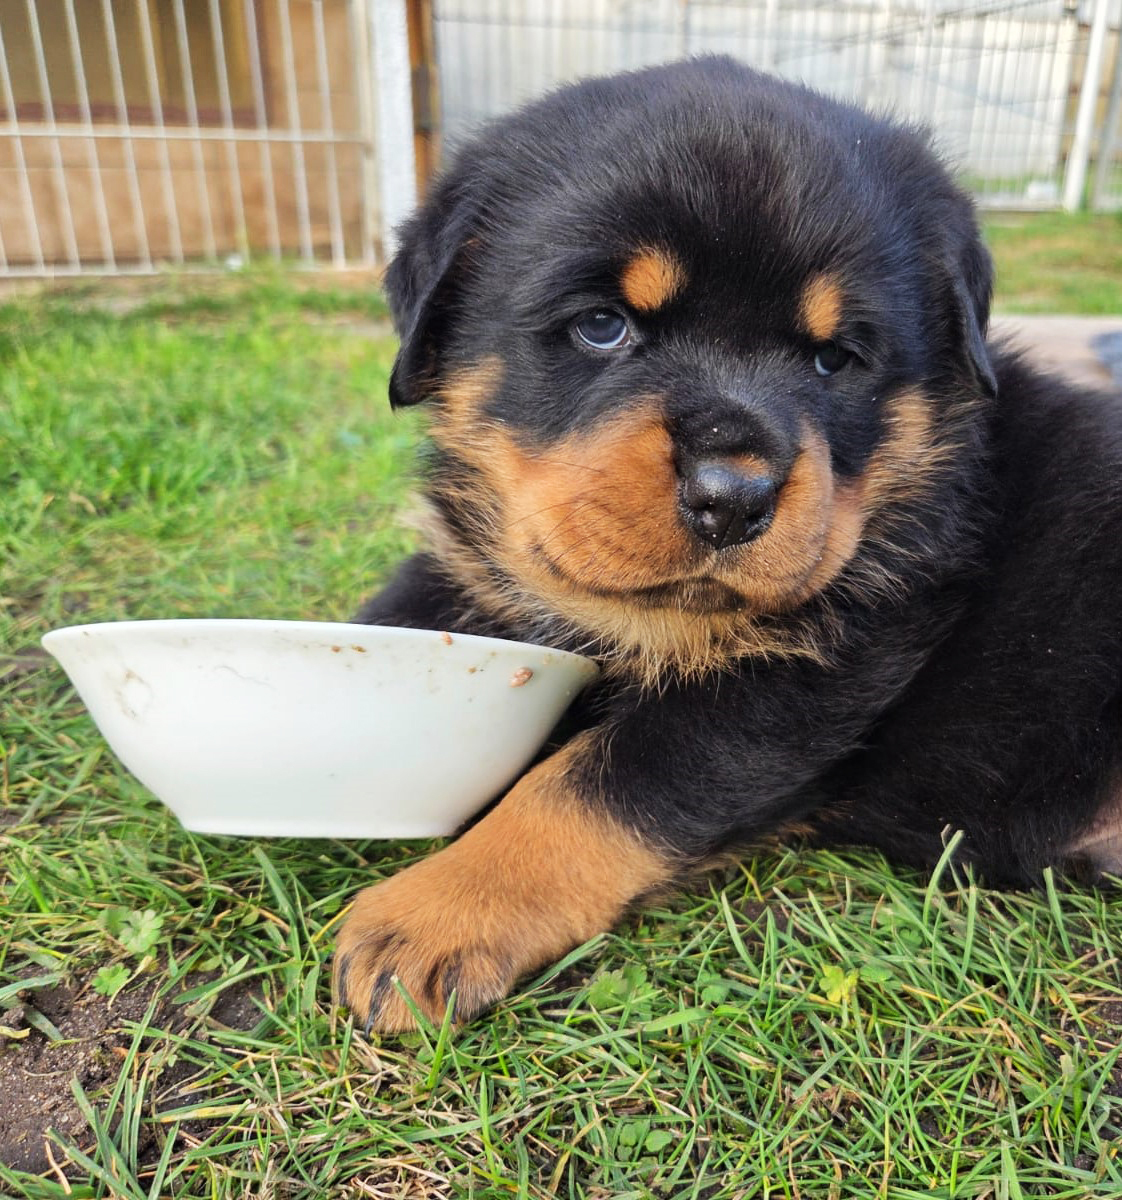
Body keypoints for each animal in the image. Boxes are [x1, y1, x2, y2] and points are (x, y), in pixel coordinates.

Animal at [333, 57, 1122, 1034]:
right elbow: (393, 616)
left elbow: (594, 786)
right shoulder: (474, 563)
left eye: (835, 358)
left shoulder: (812, 671)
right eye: (602, 325)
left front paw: (437, 912)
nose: (733, 495)